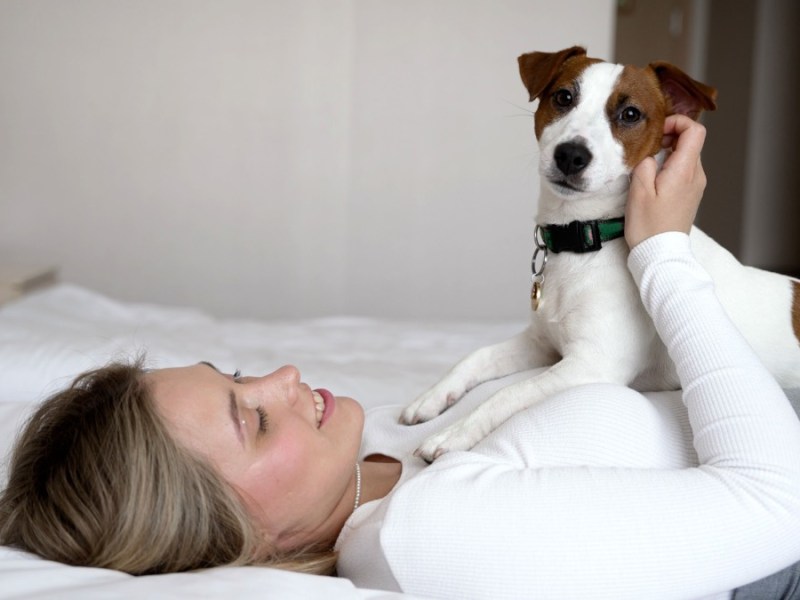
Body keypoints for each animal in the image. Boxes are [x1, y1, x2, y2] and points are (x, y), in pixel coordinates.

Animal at [400, 47, 800, 462]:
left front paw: (455, 432)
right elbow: (475, 356)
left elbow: (509, 392)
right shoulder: (542, 344)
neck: (587, 240)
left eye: (630, 114)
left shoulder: (591, 366)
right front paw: (430, 398)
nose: (571, 155)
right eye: (563, 97)